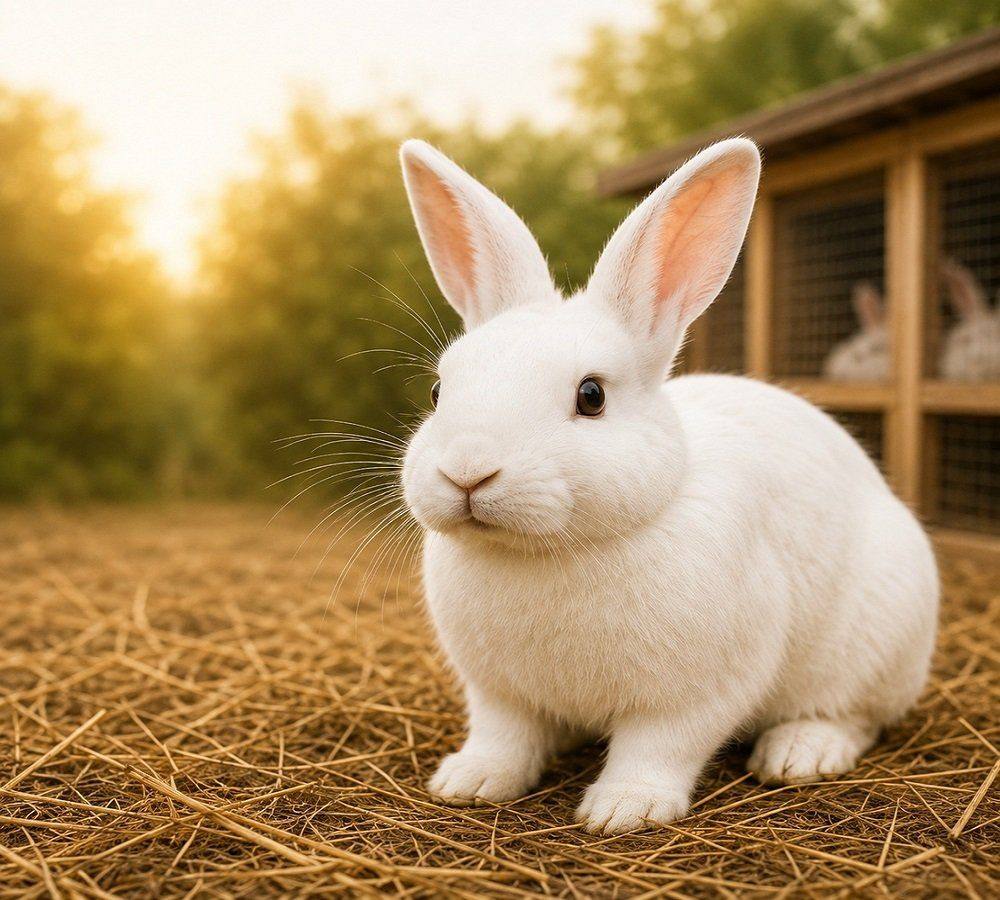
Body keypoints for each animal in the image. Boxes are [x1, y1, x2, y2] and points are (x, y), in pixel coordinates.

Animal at [395, 137, 938, 835]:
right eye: (439, 391)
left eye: (591, 396)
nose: (467, 469)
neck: (547, 552)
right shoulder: (498, 691)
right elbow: (504, 738)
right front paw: (469, 782)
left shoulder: (696, 692)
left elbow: (659, 747)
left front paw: (624, 810)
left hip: (875, 643)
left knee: (855, 715)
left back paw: (800, 753)